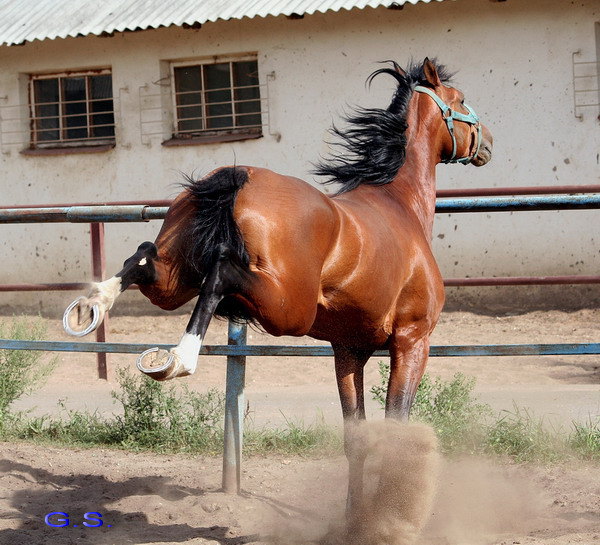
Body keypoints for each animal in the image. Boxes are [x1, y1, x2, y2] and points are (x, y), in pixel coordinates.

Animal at [63, 58, 492, 520]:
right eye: (461, 99)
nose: (487, 141)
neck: (399, 204)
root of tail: (238, 177)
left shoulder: (348, 350)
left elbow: (356, 439)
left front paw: (353, 517)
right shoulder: (412, 340)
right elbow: (394, 430)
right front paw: (382, 519)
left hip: (175, 280)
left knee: (145, 258)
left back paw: (90, 307)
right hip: (288, 310)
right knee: (221, 274)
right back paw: (177, 358)